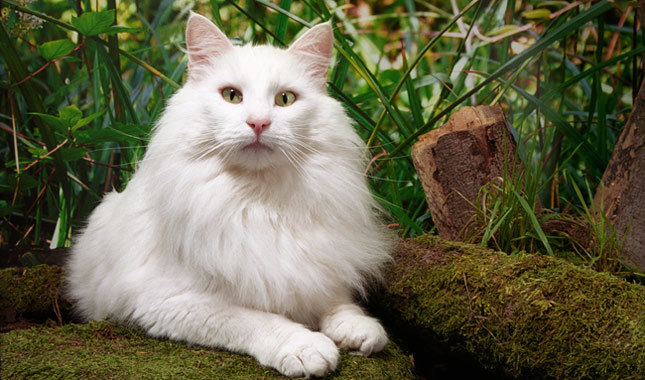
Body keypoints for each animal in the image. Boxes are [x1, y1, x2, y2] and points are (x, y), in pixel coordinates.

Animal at [68, 13, 394, 378]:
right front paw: (307, 349)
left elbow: (337, 303)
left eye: (285, 100)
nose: (258, 123)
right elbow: (258, 320)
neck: (260, 200)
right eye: (232, 96)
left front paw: (359, 331)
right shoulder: (171, 301)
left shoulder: (316, 269)